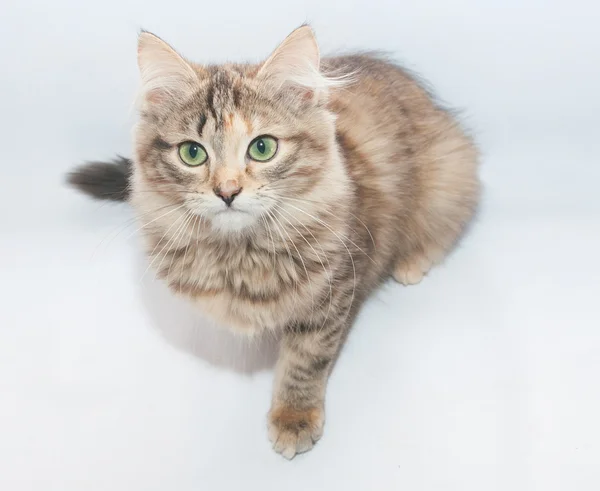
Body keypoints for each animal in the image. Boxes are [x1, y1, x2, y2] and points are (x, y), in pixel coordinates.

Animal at [68, 25, 480, 460]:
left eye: (262, 147)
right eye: (192, 153)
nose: (227, 191)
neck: (240, 254)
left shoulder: (335, 291)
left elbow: (305, 359)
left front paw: (293, 418)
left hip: (449, 176)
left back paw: (411, 262)